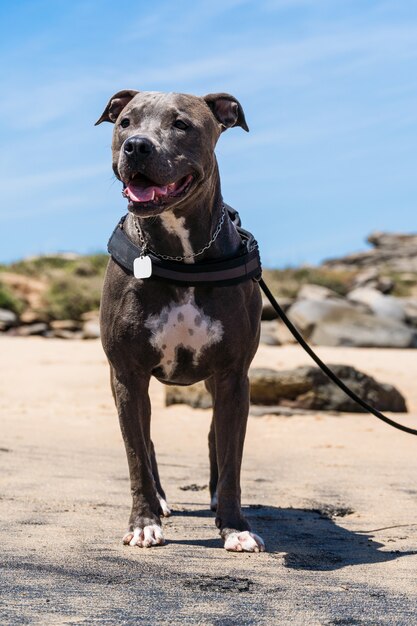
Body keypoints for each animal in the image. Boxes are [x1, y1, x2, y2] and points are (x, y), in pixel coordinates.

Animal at [95, 89, 264, 552]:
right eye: (125, 122)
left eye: (181, 125)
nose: (137, 146)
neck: (181, 255)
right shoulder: (127, 374)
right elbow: (136, 454)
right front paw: (144, 522)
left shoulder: (233, 375)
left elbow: (232, 458)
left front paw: (235, 526)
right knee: (147, 439)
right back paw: (160, 501)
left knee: (214, 438)